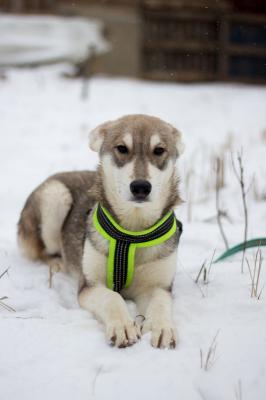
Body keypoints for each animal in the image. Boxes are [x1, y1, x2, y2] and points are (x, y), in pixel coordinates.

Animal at [17, 114, 184, 348]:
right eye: (122, 148)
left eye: (159, 150)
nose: (141, 187)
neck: (131, 235)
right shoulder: (89, 284)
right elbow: (112, 297)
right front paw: (123, 326)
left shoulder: (160, 285)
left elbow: (160, 301)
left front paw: (162, 327)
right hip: (55, 195)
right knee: (42, 252)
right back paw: (57, 263)